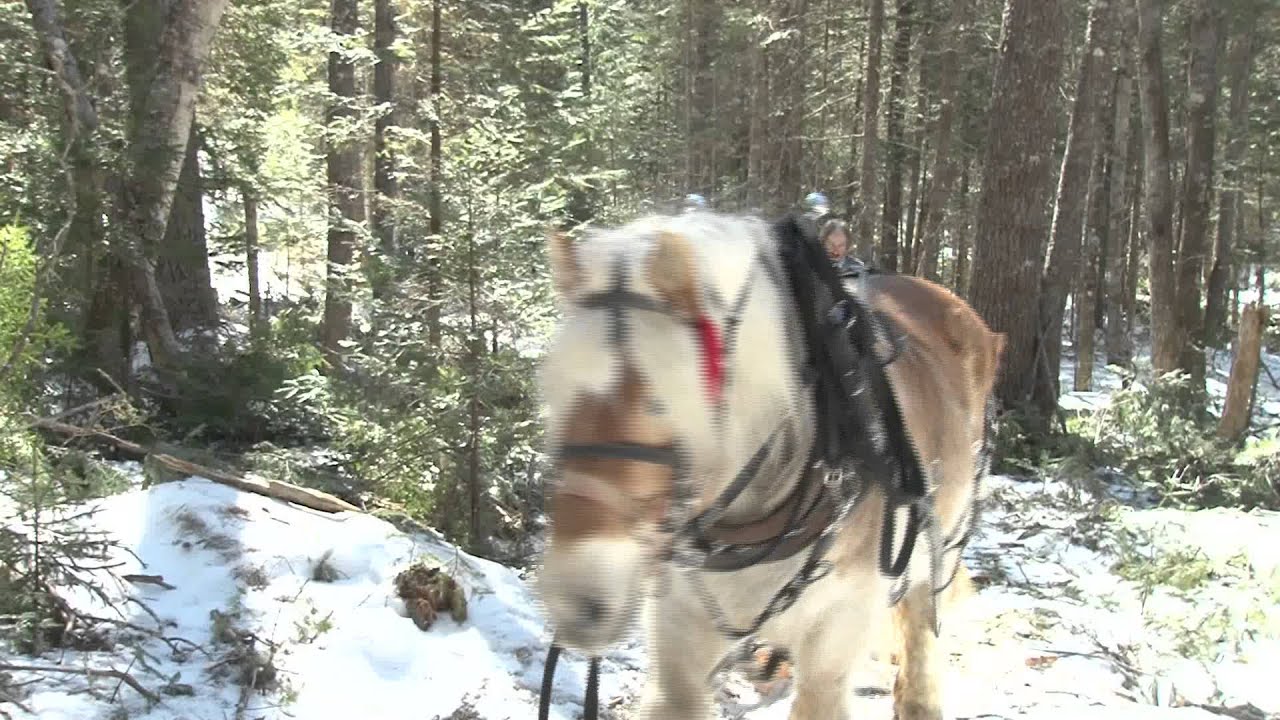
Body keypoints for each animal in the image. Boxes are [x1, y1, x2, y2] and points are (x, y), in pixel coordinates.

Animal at [535, 210, 1005, 720]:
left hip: (945, 542)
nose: (574, 596)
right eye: (553, 389)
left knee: (920, 625)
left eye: (659, 403)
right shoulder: (679, 631)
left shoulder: (839, 628)